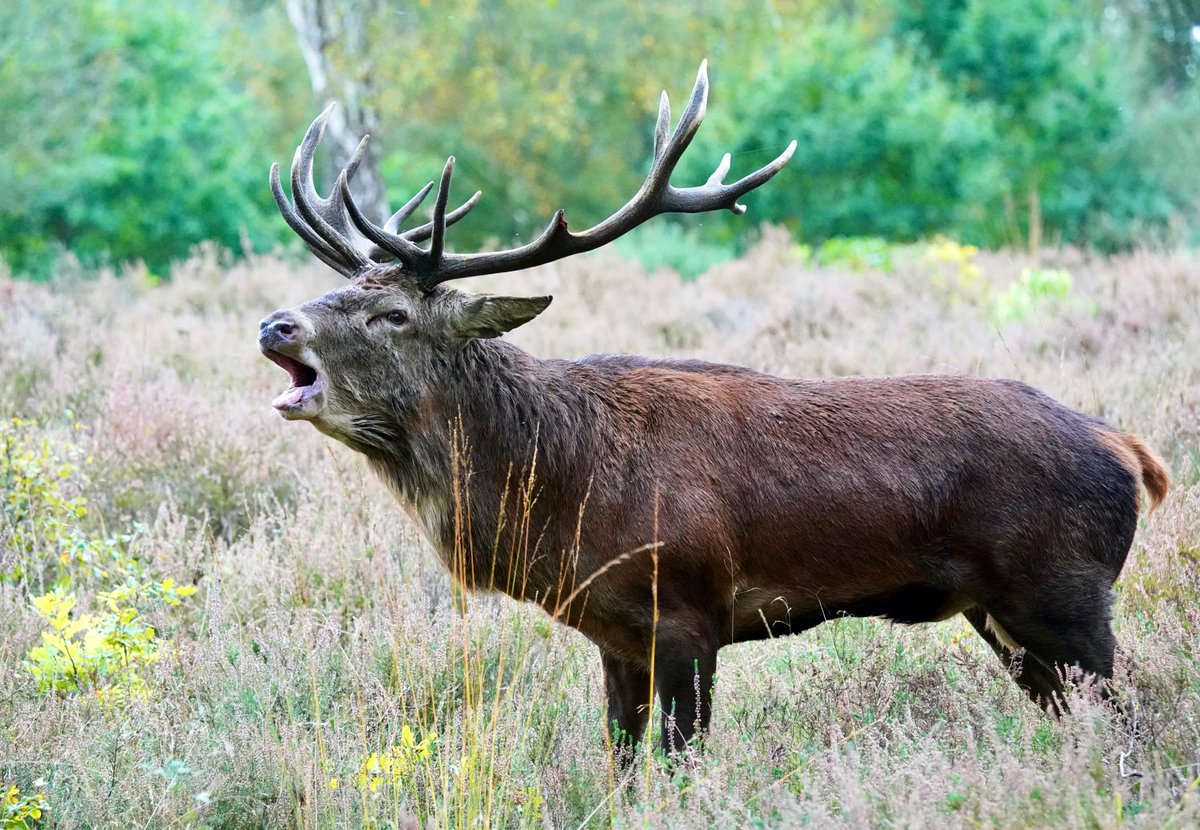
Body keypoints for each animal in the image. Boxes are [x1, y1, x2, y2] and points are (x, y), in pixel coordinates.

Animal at [258, 62, 1169, 757]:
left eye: (392, 314)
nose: (275, 323)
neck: (558, 494)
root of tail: (1130, 451)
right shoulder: (615, 635)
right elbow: (620, 767)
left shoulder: (690, 613)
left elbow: (681, 764)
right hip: (1003, 616)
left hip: (1065, 592)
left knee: (1138, 718)